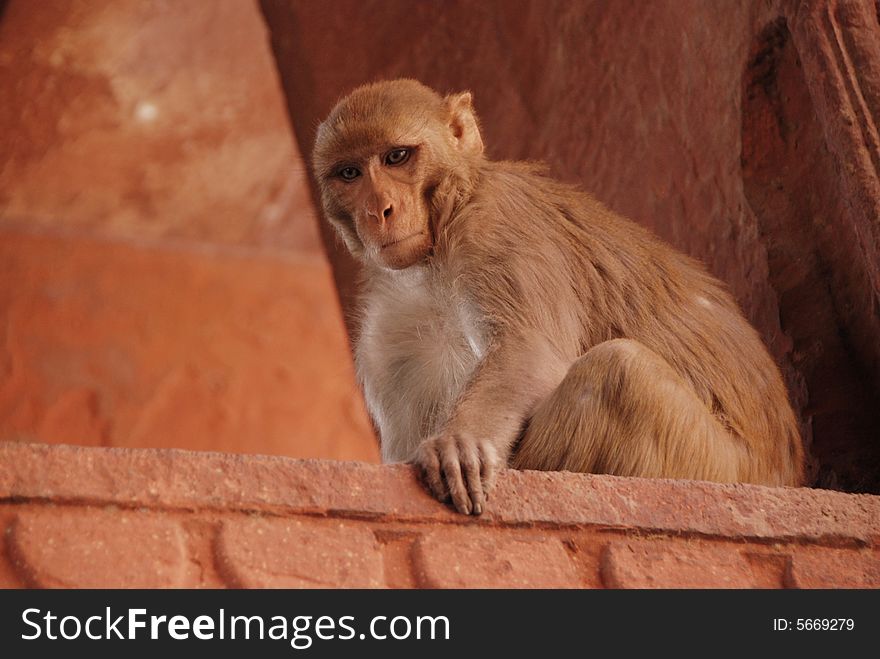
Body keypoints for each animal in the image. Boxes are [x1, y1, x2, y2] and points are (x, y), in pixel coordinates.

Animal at [312, 76, 804, 510]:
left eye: (397, 156)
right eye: (350, 173)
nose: (378, 210)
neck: (434, 255)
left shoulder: (496, 224)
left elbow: (529, 353)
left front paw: (458, 441)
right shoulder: (389, 327)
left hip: (711, 462)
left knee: (621, 372)